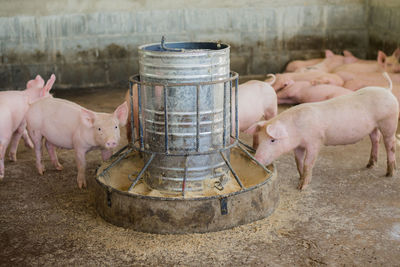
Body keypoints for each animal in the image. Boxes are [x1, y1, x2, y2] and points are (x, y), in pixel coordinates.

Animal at [247, 73, 396, 191]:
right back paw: (370, 165)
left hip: (388, 121)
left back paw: (390, 173)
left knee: (390, 144)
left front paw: (301, 187)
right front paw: (300, 179)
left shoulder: (315, 141)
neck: (296, 129)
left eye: (272, 140)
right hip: (373, 126)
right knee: (375, 138)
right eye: (260, 139)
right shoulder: (298, 145)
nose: (256, 160)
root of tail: (387, 90)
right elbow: (298, 161)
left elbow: (308, 163)